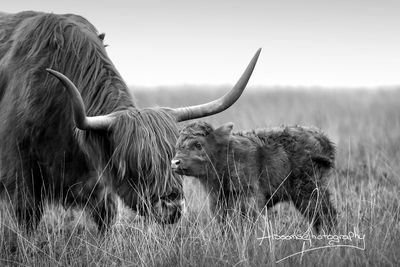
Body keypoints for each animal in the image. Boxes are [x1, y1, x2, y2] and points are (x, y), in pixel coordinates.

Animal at [0, 11, 260, 231]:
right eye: (138, 164)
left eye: (176, 159)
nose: (172, 208)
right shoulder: (19, 177)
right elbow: (27, 219)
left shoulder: (98, 183)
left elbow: (106, 217)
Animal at [172, 121, 338, 232]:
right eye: (177, 145)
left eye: (198, 144)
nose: (175, 162)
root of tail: (321, 137)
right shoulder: (218, 203)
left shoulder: (249, 199)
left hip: (309, 190)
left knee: (325, 216)